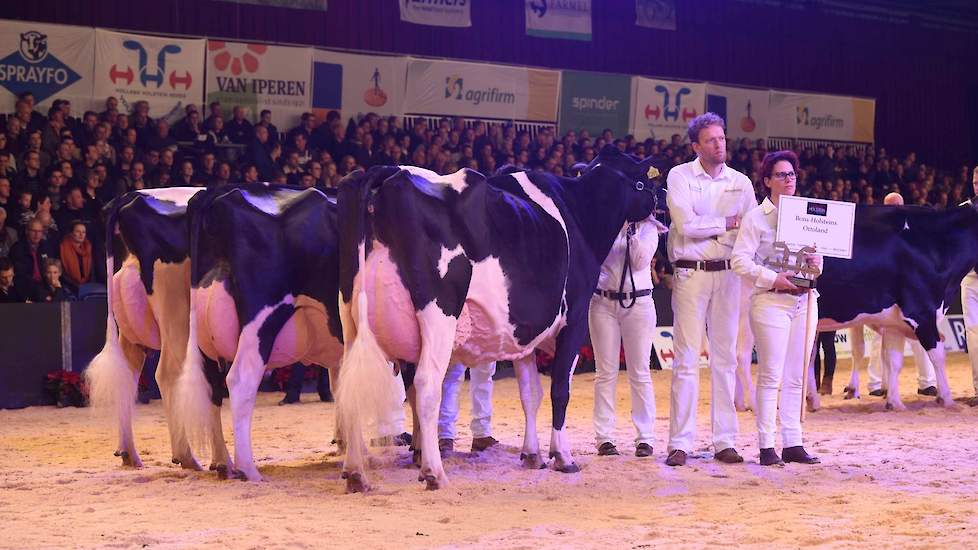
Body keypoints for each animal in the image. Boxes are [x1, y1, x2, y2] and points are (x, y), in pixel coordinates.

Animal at [84, 188, 229, 472]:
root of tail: (128, 198)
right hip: (179, 317)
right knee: (173, 374)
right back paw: (202, 459)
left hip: (132, 330)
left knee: (128, 374)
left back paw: (130, 454)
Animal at [176, 183, 350, 480]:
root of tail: (216, 194)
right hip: (261, 321)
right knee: (240, 381)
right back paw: (248, 469)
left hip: (203, 338)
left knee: (212, 389)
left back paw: (223, 463)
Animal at [332, 148, 660, 496]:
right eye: (645, 179)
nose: (660, 198)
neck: (580, 213)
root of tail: (387, 171)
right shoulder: (574, 320)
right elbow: (559, 390)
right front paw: (562, 456)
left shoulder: (524, 334)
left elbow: (530, 394)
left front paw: (532, 454)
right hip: (438, 314)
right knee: (425, 386)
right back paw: (433, 471)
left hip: (351, 316)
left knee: (350, 386)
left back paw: (355, 472)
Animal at [800, 205, 976, 412]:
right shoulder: (921, 310)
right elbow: (938, 355)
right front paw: (947, 399)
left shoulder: (894, 321)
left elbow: (894, 361)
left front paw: (895, 402)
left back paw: (812, 401)